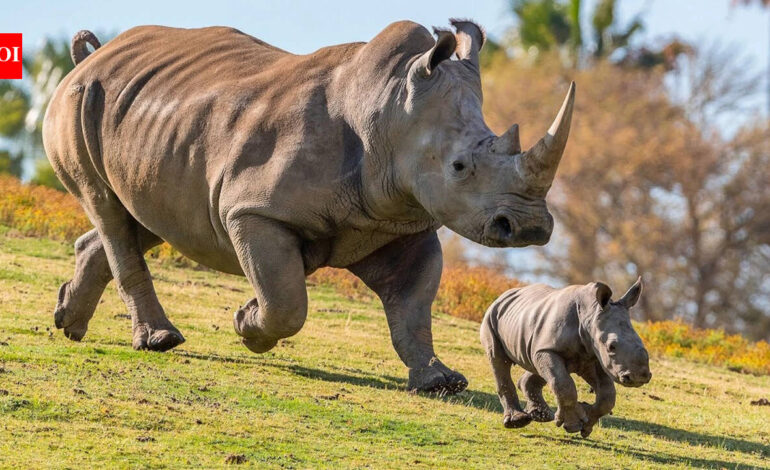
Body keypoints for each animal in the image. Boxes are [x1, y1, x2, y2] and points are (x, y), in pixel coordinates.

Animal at [43, 19, 574, 394]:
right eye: (460, 167)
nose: (529, 227)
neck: (388, 110)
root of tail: (90, 59)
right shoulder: (254, 210)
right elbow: (286, 302)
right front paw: (247, 324)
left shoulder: (401, 222)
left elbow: (413, 306)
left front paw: (440, 382)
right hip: (77, 102)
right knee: (107, 208)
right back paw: (160, 341)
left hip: (154, 121)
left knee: (148, 214)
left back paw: (69, 322)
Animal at [480, 278, 651, 437]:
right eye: (611, 347)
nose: (639, 377)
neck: (590, 314)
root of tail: (503, 295)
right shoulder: (551, 349)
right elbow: (563, 385)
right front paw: (573, 424)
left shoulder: (593, 356)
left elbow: (607, 395)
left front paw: (586, 423)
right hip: (492, 316)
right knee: (498, 359)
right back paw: (517, 421)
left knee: (538, 365)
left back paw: (542, 416)